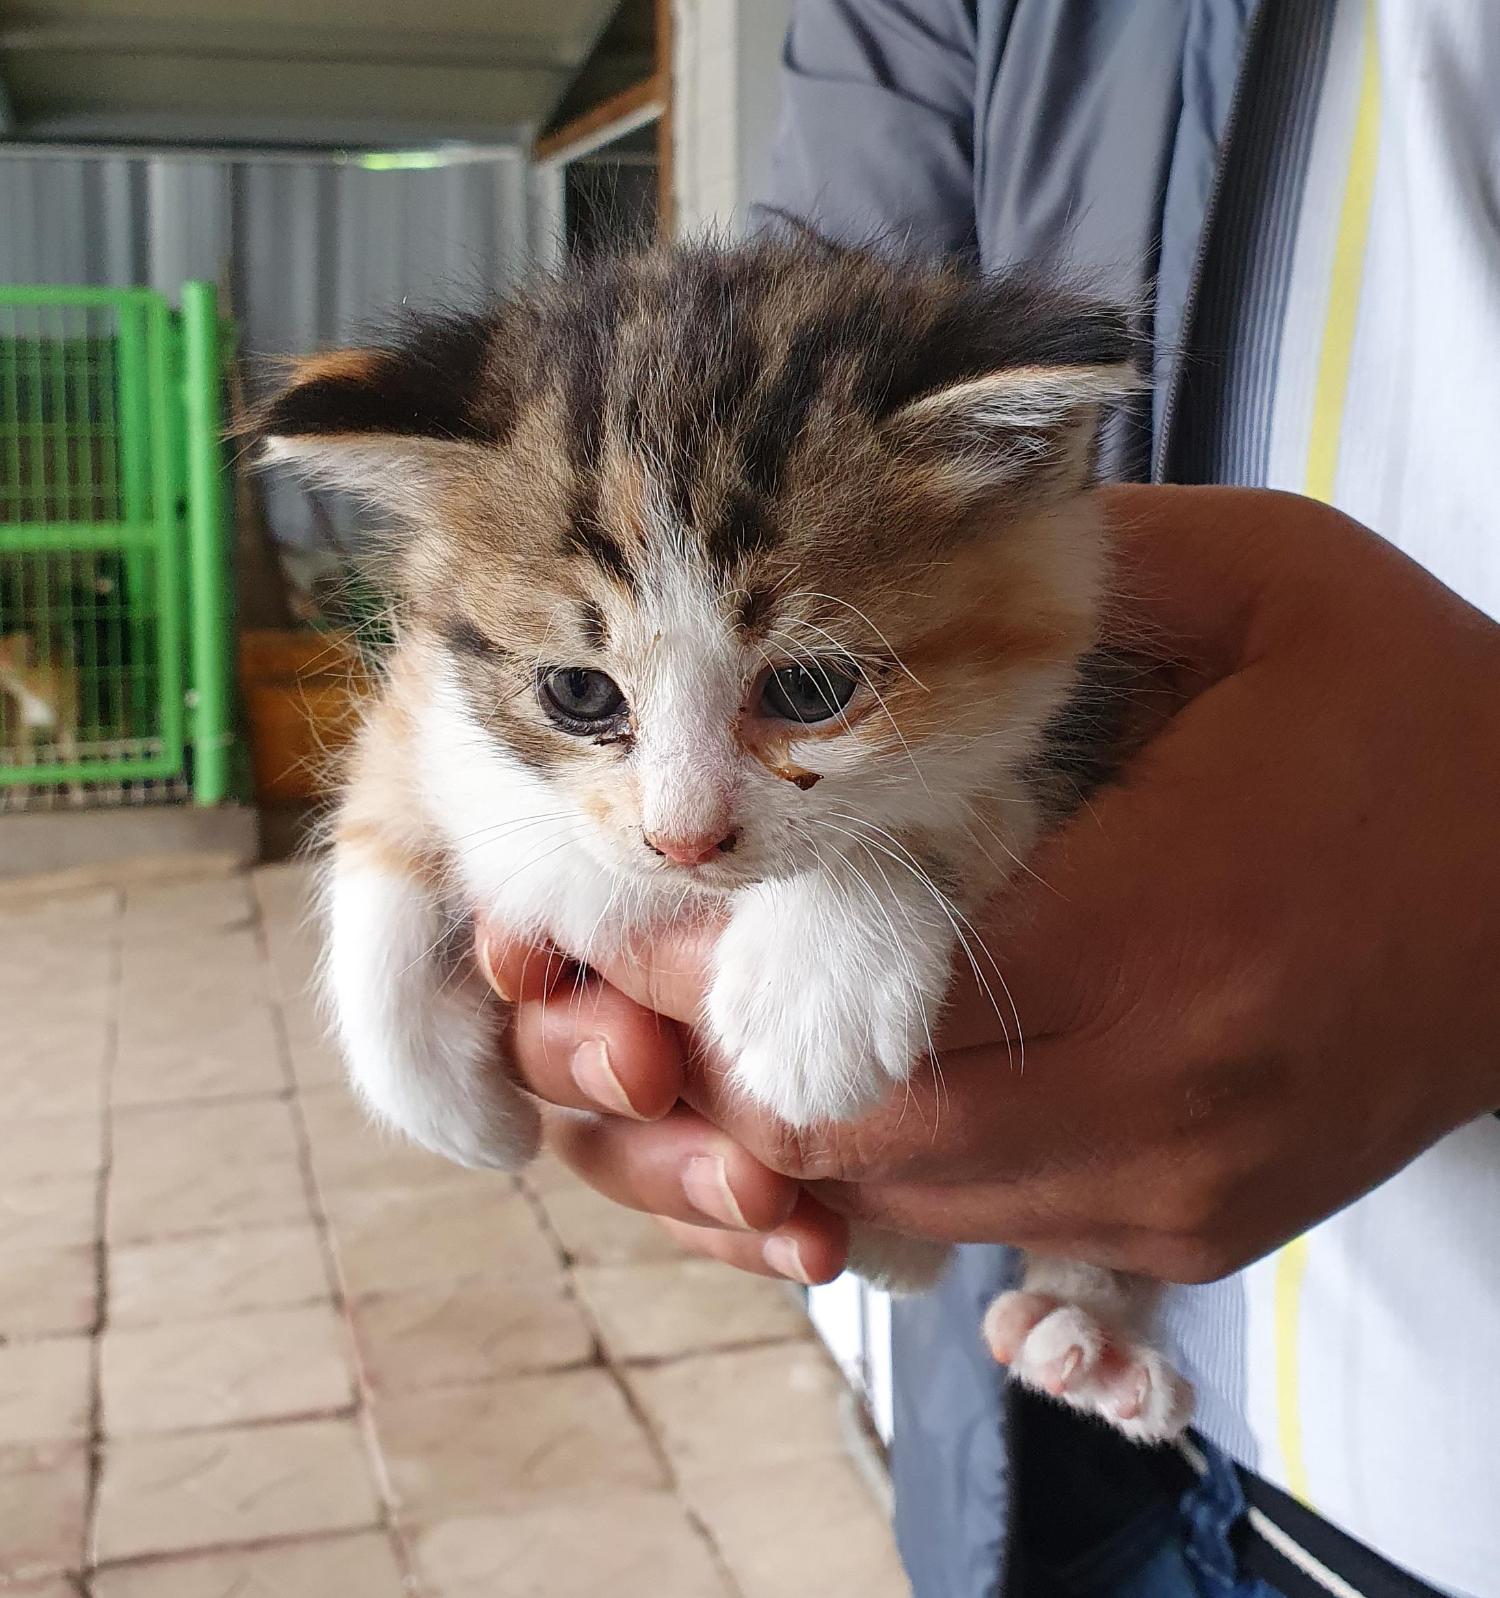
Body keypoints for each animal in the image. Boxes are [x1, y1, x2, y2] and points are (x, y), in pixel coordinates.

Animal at [260, 239, 1194, 1450]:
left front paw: (818, 980)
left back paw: (1086, 1333)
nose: (682, 838)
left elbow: (955, 806)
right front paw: (444, 1100)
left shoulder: (1079, 722)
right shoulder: (439, 702)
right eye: (578, 693)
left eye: (808, 690)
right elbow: (382, 817)